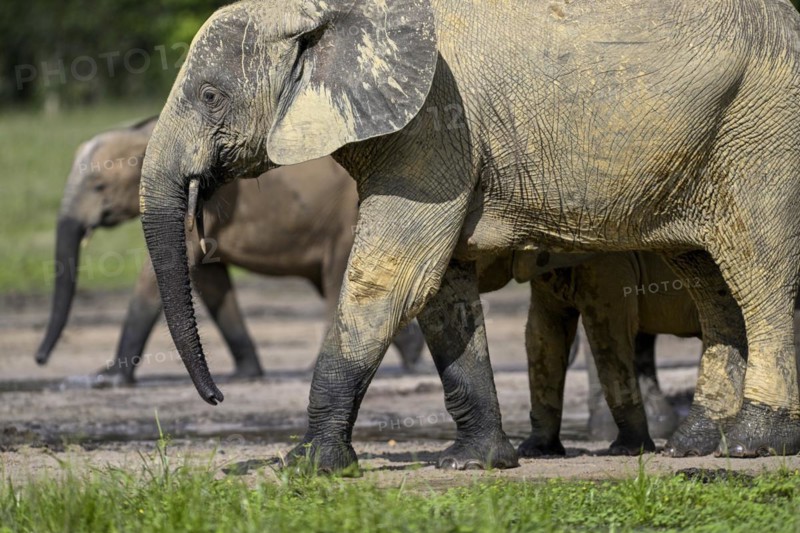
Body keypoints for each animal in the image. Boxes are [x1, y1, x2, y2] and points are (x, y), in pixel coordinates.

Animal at [34, 116, 425, 384]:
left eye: (99, 186)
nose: (39, 359)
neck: (149, 131)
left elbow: (156, 276)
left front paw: (104, 380)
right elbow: (209, 278)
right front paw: (245, 375)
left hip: (349, 219)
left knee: (338, 280)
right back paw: (412, 359)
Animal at [139, 0, 800, 471]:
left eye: (211, 96)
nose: (218, 398)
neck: (326, 9)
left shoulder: (433, 126)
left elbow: (394, 279)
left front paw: (307, 466)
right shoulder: (435, 140)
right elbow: (441, 293)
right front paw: (474, 462)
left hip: (762, 131)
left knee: (760, 273)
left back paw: (754, 443)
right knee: (709, 280)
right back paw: (697, 444)